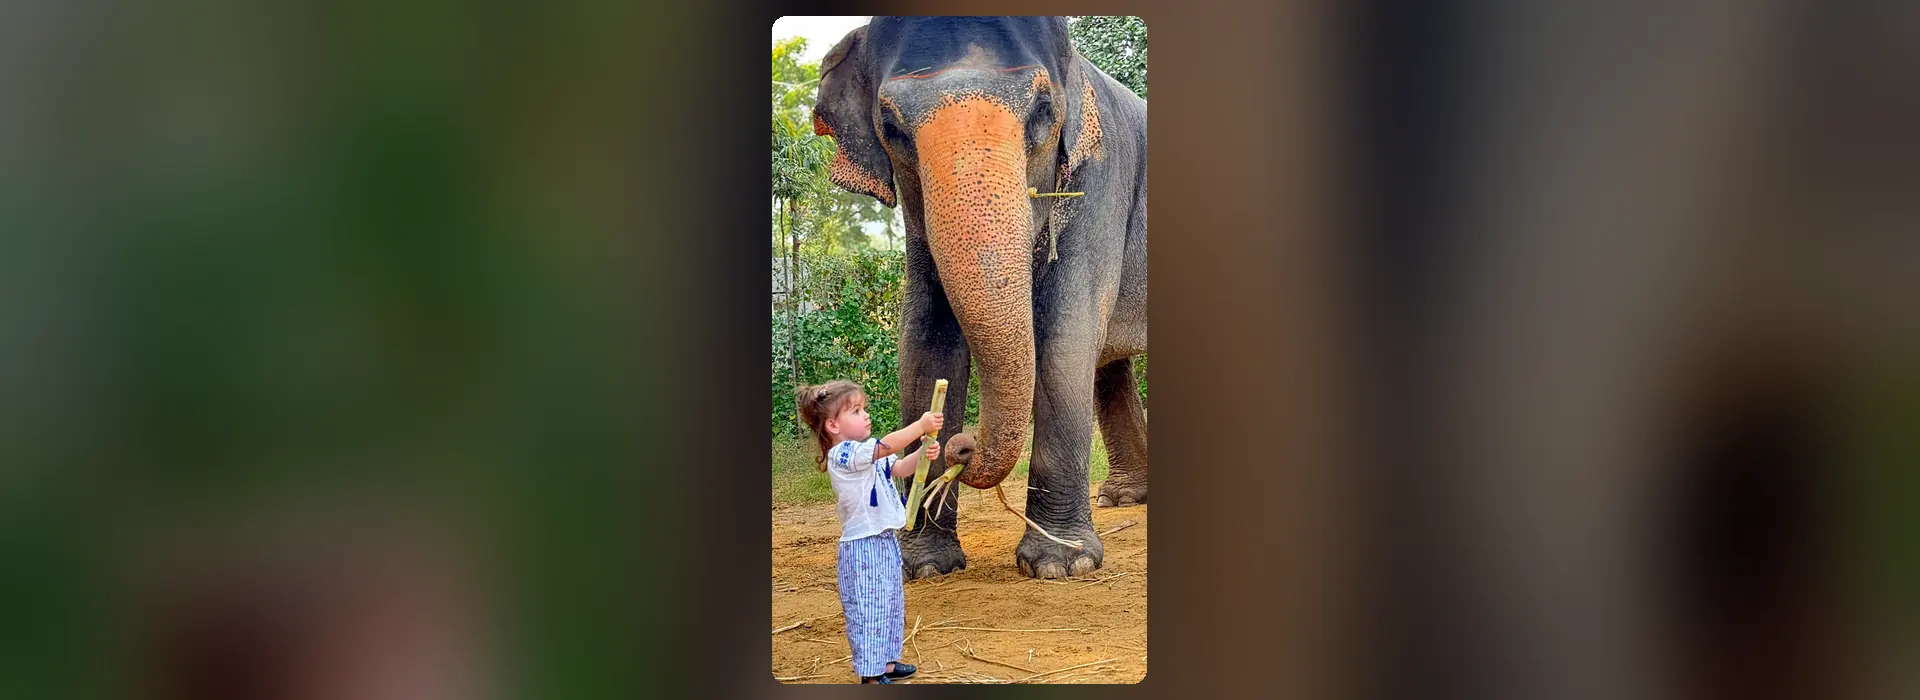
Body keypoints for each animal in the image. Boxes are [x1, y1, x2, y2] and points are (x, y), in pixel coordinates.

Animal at [811, 17, 1147, 580]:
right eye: (891, 126)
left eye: (1043, 110)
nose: (962, 445)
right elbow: (924, 341)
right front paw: (924, 565)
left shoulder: (1101, 181)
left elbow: (1066, 334)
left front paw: (1061, 565)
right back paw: (1123, 498)